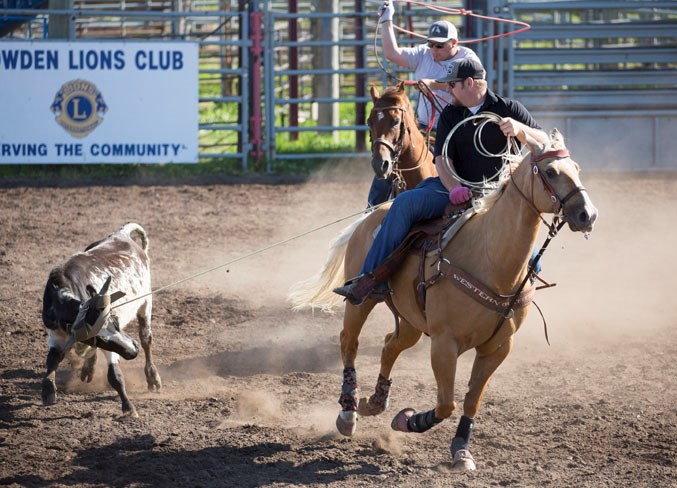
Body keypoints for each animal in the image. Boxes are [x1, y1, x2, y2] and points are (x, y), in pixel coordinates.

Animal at [290, 127, 596, 470]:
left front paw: (461, 451)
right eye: (551, 172)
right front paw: (409, 420)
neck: (490, 258)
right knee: (349, 342)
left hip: (411, 320)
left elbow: (471, 400)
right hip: (362, 301)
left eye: (577, 168)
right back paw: (348, 412)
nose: (587, 214)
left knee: (390, 344)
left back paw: (376, 402)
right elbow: (446, 403)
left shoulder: (498, 347)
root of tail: (371, 216)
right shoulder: (444, 342)